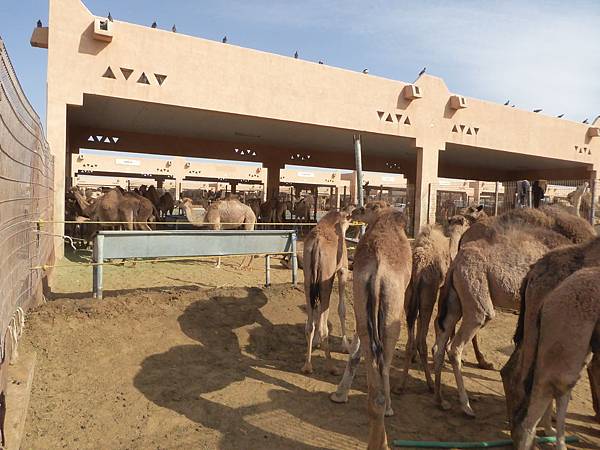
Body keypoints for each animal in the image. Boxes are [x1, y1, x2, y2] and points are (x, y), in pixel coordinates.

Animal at [328, 210, 412, 450]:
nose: (352, 212)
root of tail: (379, 269)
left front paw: (340, 393)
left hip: (362, 295)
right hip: (393, 310)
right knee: (383, 366)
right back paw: (386, 416)